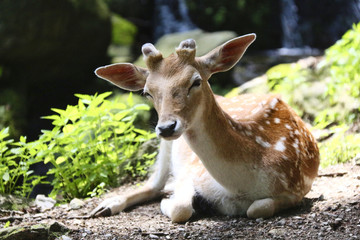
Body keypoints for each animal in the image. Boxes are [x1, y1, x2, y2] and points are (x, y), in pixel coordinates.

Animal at [91, 33, 320, 223]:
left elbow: (258, 208)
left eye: (195, 81)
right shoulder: (190, 172)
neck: (241, 187)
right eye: (147, 92)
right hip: (165, 147)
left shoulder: (296, 189)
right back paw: (105, 206)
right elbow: (180, 209)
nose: (166, 127)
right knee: (153, 184)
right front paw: (171, 202)